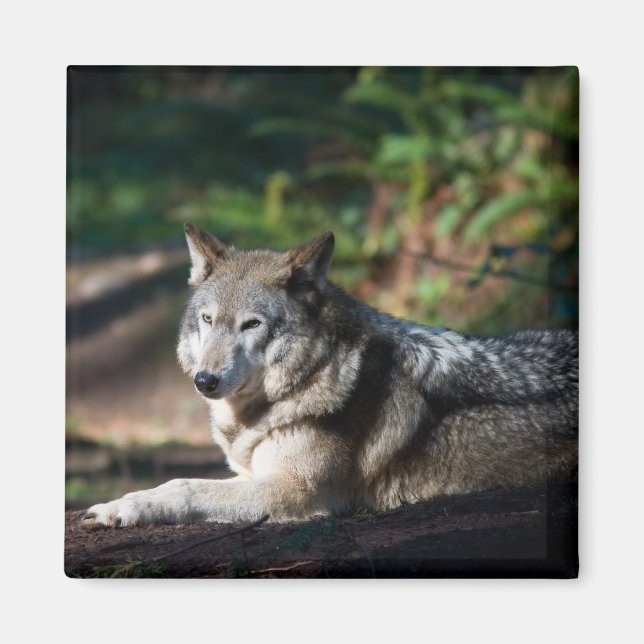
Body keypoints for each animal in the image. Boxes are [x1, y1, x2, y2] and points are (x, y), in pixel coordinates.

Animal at [84, 223, 578, 527]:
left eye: (251, 325)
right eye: (207, 320)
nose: (204, 381)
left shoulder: (293, 491)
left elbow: (188, 488)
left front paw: (127, 508)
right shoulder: (258, 474)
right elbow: (180, 481)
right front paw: (125, 502)